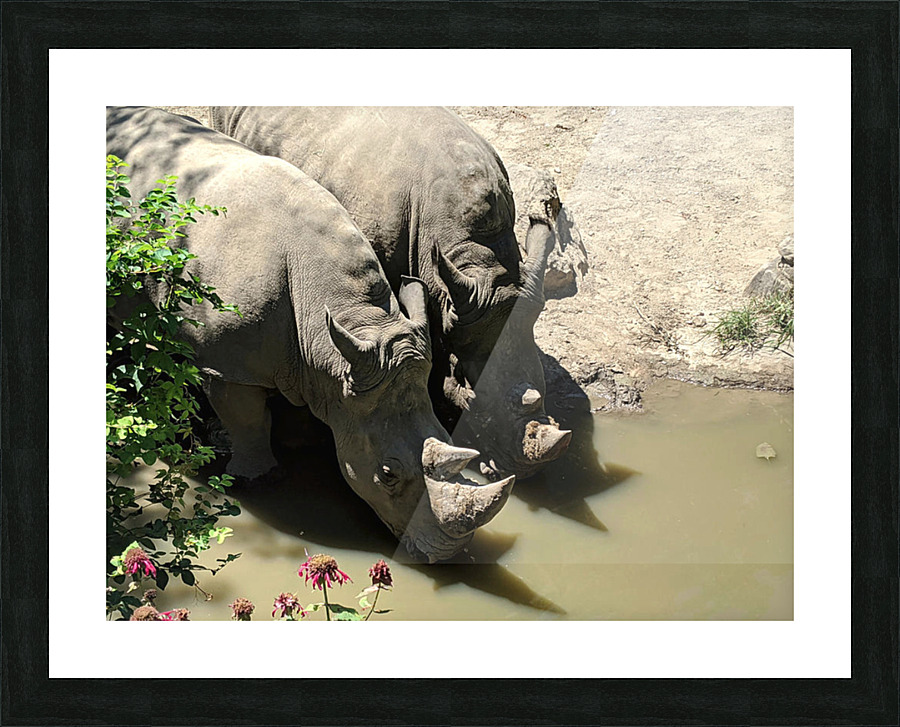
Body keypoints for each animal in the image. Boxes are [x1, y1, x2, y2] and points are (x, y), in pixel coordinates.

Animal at [107, 107, 515, 563]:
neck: (352, 317)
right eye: (387, 474)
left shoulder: (327, 363)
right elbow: (248, 421)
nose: (446, 556)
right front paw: (258, 479)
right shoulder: (227, 363)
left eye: (449, 438)